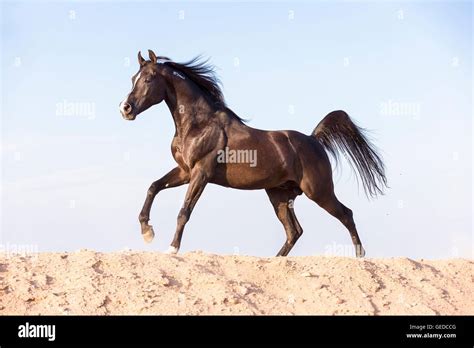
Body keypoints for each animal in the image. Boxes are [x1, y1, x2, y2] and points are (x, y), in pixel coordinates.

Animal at [118, 49, 386, 256]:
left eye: (149, 78)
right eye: (133, 78)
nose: (125, 108)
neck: (199, 124)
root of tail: (313, 139)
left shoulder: (200, 173)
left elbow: (184, 211)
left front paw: (171, 249)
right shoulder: (184, 171)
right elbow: (153, 187)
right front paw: (147, 232)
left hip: (319, 191)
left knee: (346, 214)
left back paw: (359, 256)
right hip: (279, 195)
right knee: (294, 231)